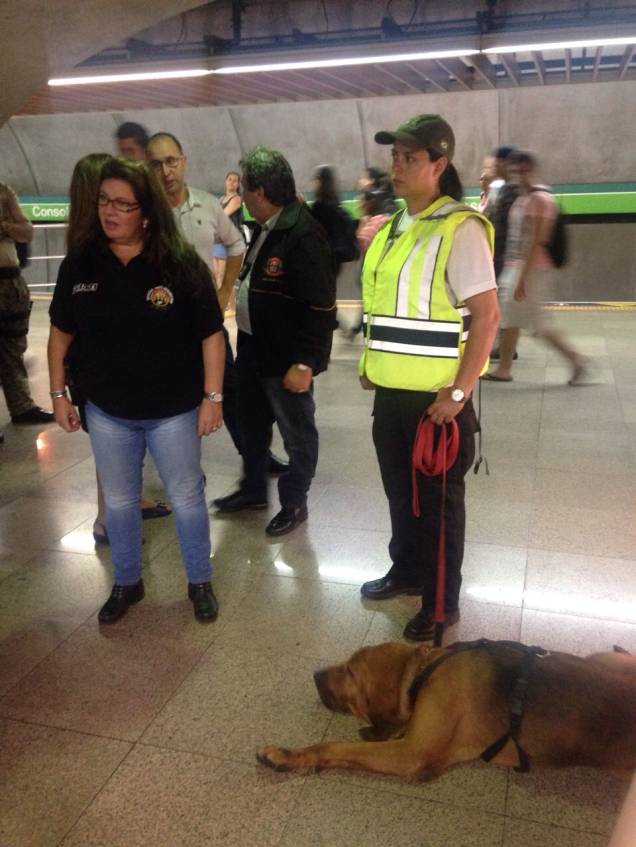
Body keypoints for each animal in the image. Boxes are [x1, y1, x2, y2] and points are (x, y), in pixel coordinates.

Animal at [258, 636, 636, 780]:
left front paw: (288, 755)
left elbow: (334, 745)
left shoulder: (411, 753)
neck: (423, 672)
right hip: (600, 659)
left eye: (351, 670)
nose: (315, 675)